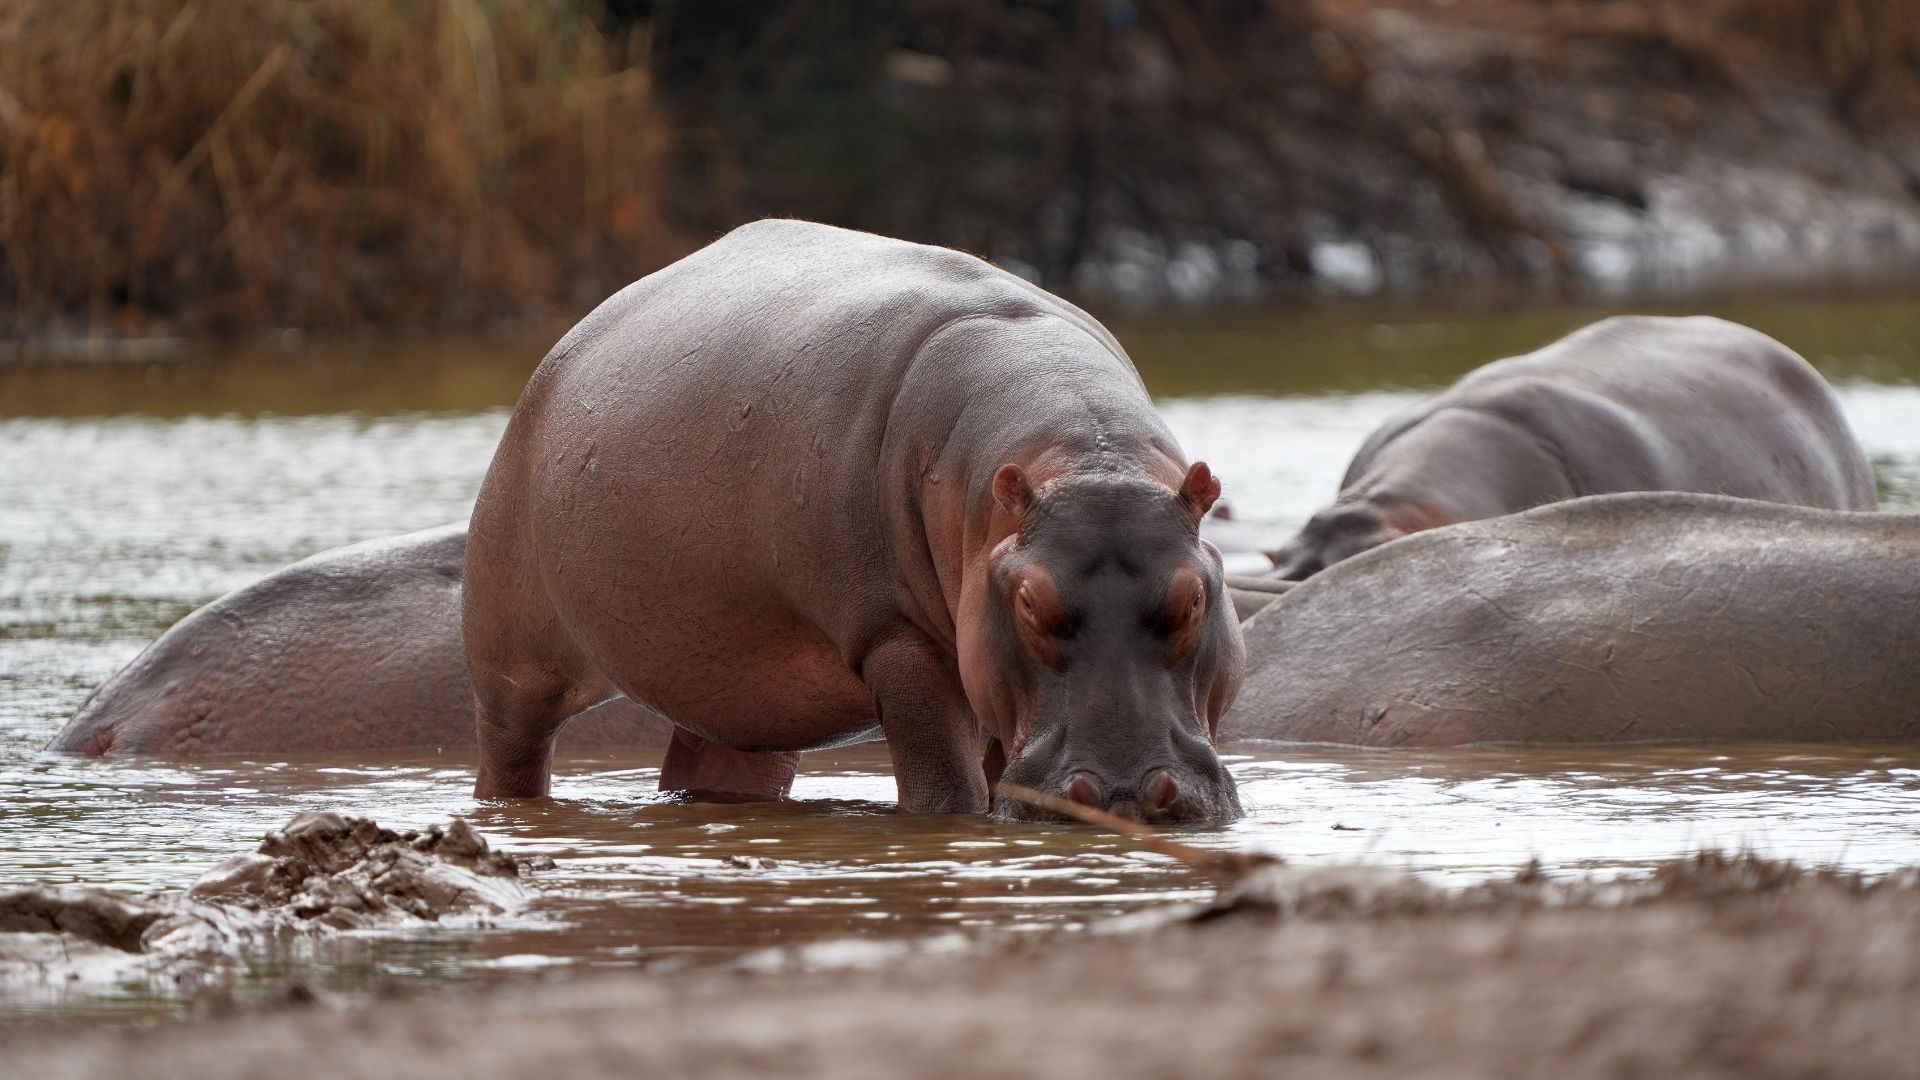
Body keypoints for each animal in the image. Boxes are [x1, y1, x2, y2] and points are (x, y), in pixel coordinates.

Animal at [464, 219, 1246, 821]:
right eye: (1029, 602)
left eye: (1193, 599)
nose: (1123, 795)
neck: (1083, 456)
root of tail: (562, 352)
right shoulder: (897, 639)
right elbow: (947, 789)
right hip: (513, 663)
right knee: (512, 752)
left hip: (741, 689)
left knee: (721, 764)